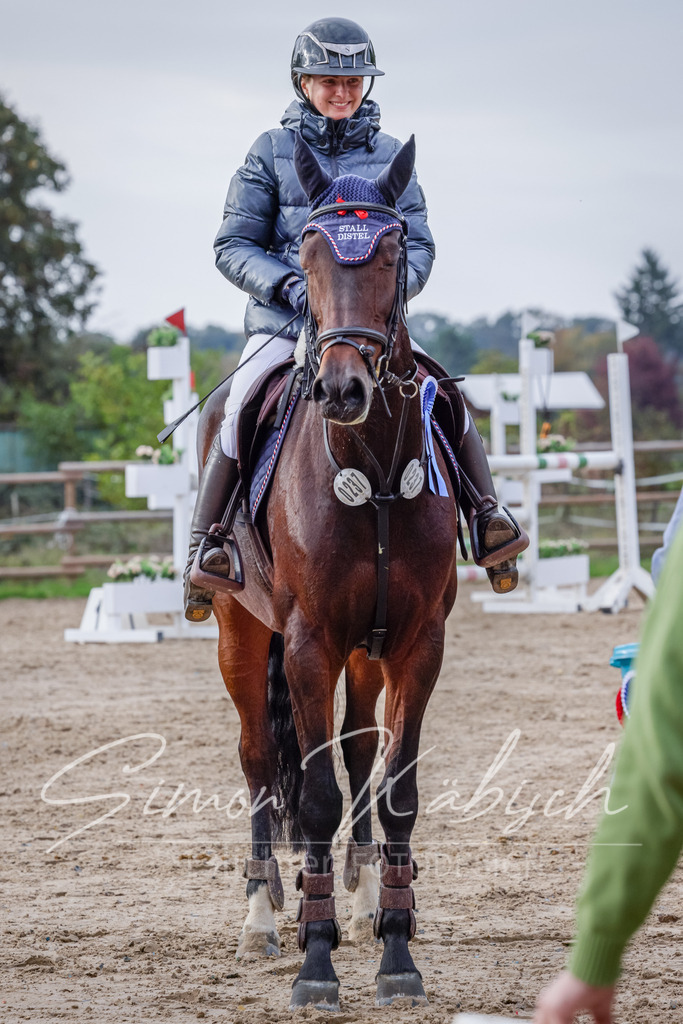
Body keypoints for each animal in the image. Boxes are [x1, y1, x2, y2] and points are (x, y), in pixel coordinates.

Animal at [196, 133, 461, 1011]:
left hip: (363, 652)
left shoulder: (416, 644)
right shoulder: (307, 644)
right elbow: (310, 798)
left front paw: (396, 949)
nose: (342, 388)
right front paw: (315, 964)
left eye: (391, 252)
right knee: (256, 757)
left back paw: (362, 896)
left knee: (356, 751)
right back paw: (259, 917)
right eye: (306, 253)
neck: (368, 462)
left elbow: (393, 787)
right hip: (241, 632)